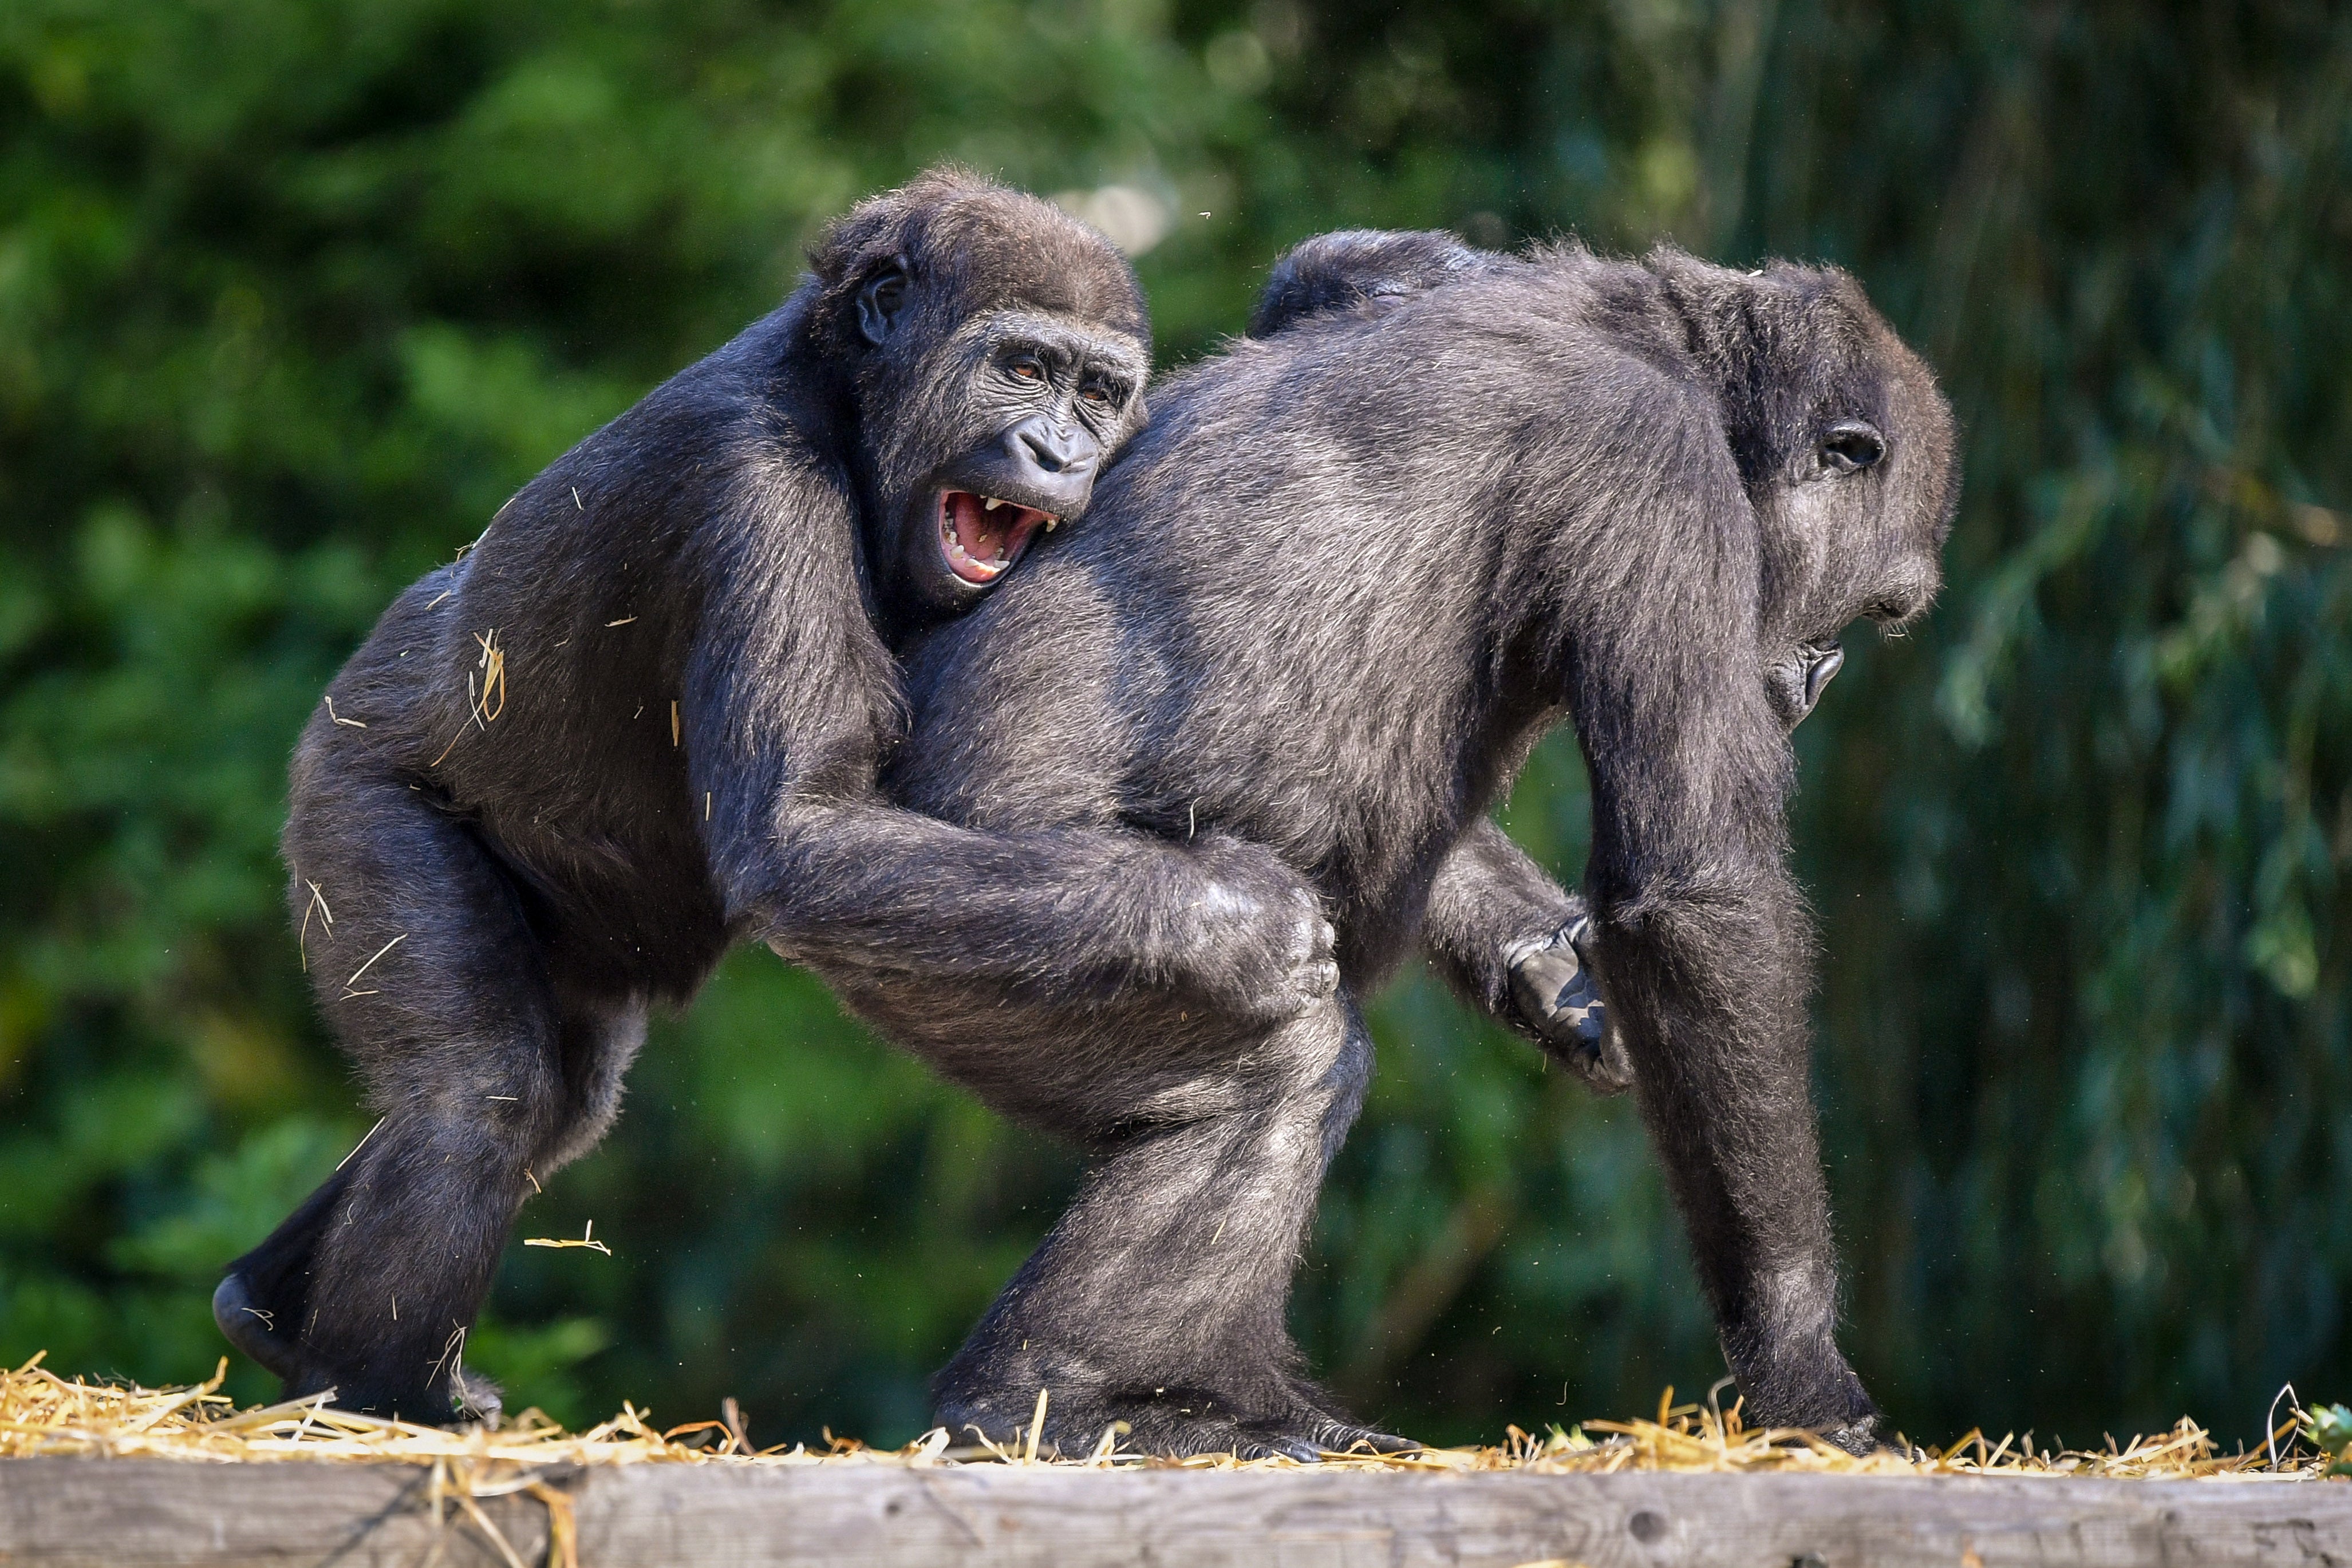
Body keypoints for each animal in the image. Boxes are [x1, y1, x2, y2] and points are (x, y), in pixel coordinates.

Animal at [211, 169, 1355, 1420]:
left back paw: (268, 1309)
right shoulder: (753, 484)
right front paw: (1236, 921)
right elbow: (801, 833)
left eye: (1097, 394)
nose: (1056, 453)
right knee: (482, 1095)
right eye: (1020, 369)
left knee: (559, 1103)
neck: (848, 397)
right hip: (351, 788)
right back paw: (373, 1396)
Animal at [818, 230, 1956, 1457]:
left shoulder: (1405, 275)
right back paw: (1056, 1392)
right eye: (1874, 607)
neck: (1679, 356)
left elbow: (1327, 270)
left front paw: (1550, 967)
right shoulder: (1654, 468)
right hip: (967, 925)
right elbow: (1696, 889)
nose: (1818, 673)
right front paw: (1802, 1366)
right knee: (1284, 1056)